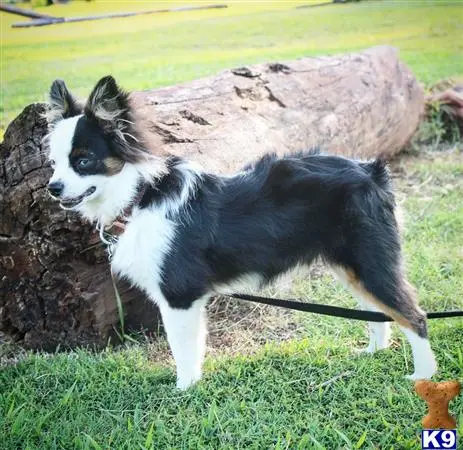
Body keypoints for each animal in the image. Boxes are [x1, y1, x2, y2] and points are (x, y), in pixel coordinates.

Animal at [45, 75, 436, 388]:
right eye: (54, 163)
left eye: (83, 160)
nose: (52, 188)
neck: (139, 197)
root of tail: (371, 171)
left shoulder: (180, 295)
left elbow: (183, 350)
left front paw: (184, 391)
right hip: (352, 267)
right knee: (379, 313)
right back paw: (373, 353)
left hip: (369, 262)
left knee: (414, 315)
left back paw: (425, 377)